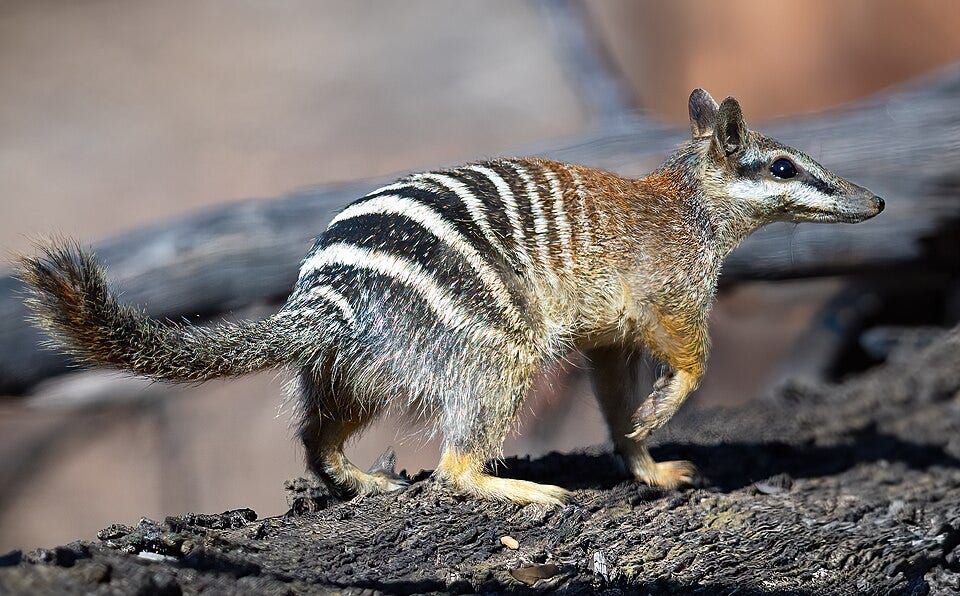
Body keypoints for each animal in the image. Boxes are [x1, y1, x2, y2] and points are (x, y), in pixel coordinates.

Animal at [17, 89, 883, 505]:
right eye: (784, 167)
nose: (874, 201)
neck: (689, 208)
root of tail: (324, 294)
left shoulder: (608, 336)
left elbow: (613, 398)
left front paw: (645, 459)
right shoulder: (670, 292)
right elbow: (690, 358)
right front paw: (663, 413)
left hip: (358, 369)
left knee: (316, 439)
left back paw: (362, 478)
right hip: (495, 349)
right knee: (455, 466)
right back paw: (521, 489)